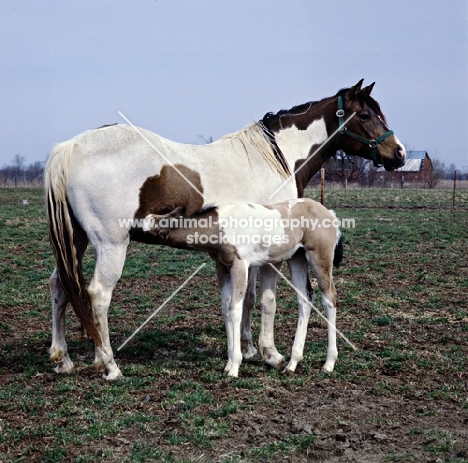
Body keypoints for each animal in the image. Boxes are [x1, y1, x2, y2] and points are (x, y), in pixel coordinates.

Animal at [141, 198, 342, 376]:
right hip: (297, 259)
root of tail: (330, 214)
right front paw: (228, 365)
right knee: (305, 299)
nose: (142, 223)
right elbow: (226, 308)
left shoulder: (240, 265)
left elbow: (235, 309)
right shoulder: (223, 267)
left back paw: (329, 363)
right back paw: (292, 364)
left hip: (320, 258)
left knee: (329, 299)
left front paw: (235, 367)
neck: (221, 226)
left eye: (160, 221)